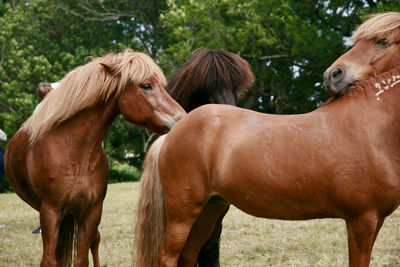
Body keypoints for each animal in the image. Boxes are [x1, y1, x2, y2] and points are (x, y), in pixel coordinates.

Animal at [5, 50, 186, 267]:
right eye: (146, 86)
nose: (182, 118)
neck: (75, 153)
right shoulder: (50, 213)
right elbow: (49, 260)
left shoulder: (92, 213)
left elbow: (81, 259)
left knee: (94, 241)